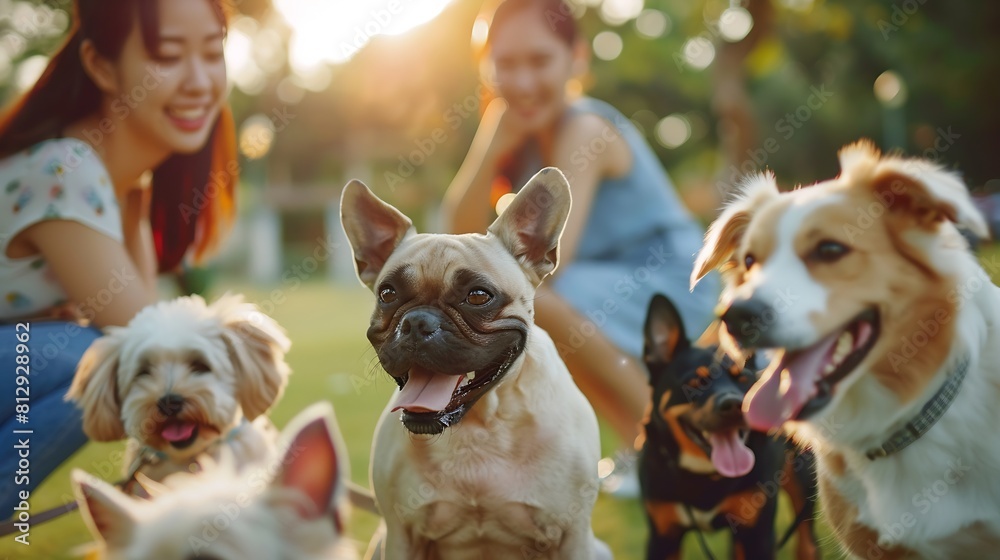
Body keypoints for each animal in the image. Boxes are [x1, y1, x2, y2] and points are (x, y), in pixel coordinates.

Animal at [636, 296, 816, 556]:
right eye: (696, 383)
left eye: (744, 379)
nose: (735, 405)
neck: (705, 475)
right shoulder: (663, 536)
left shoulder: (757, 536)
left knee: (807, 541)